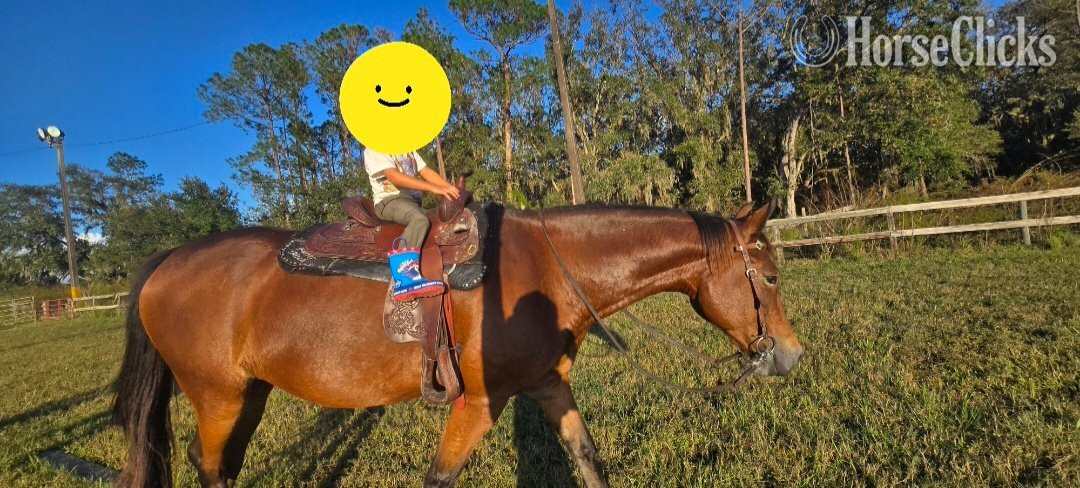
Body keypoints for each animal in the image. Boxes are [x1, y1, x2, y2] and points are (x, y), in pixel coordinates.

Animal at [113, 200, 803, 488]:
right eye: (770, 277)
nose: (792, 355)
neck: (548, 271)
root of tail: (167, 260)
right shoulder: (479, 403)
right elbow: (439, 478)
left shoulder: (548, 385)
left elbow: (588, 461)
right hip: (218, 397)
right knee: (209, 467)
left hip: (249, 395)